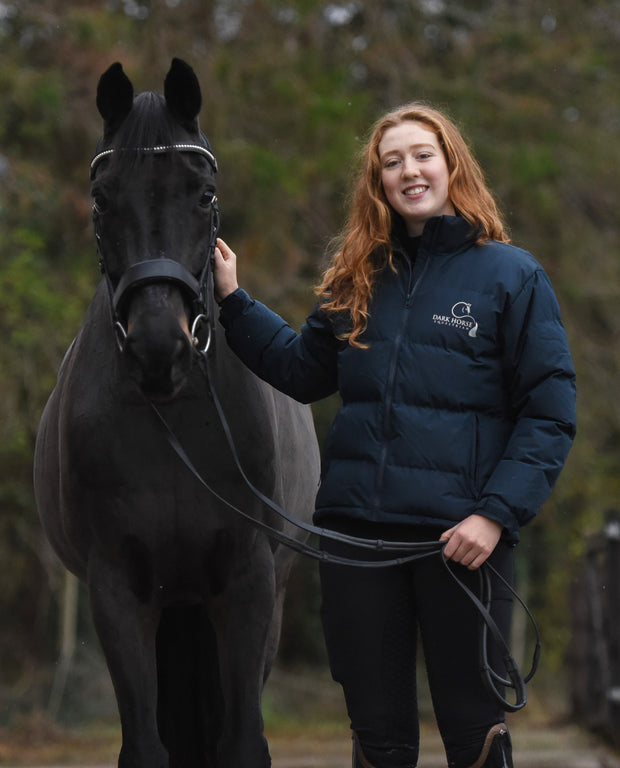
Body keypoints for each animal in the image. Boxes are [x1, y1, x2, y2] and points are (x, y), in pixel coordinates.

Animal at [33, 58, 320, 768]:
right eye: (102, 198)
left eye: (205, 194)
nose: (158, 348)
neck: (178, 428)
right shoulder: (117, 589)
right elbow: (145, 745)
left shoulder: (246, 586)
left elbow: (241, 741)